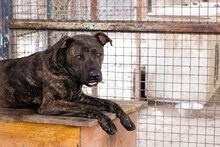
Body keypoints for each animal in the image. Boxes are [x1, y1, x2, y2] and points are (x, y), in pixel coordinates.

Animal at [0, 32, 135, 134]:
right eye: (78, 57)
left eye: (98, 54)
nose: (94, 75)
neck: (65, 71)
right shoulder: (49, 104)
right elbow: (89, 107)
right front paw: (107, 122)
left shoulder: (79, 97)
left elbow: (110, 102)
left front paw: (127, 120)